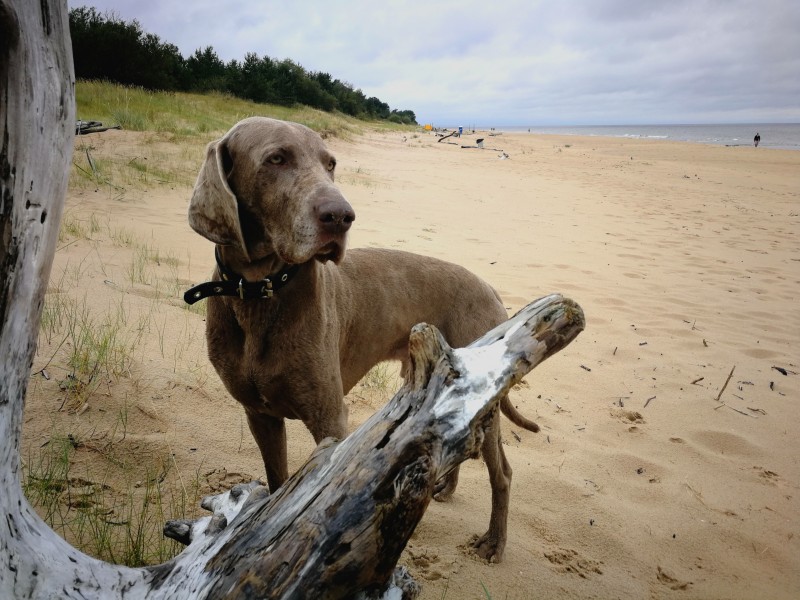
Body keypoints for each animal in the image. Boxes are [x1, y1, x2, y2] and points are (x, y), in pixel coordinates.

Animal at [185, 117, 539, 562]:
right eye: (276, 159)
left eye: (331, 163)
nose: (341, 216)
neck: (259, 293)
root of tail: (490, 288)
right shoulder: (259, 414)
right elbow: (277, 480)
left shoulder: (330, 417)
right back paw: (447, 487)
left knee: (502, 472)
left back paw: (494, 542)